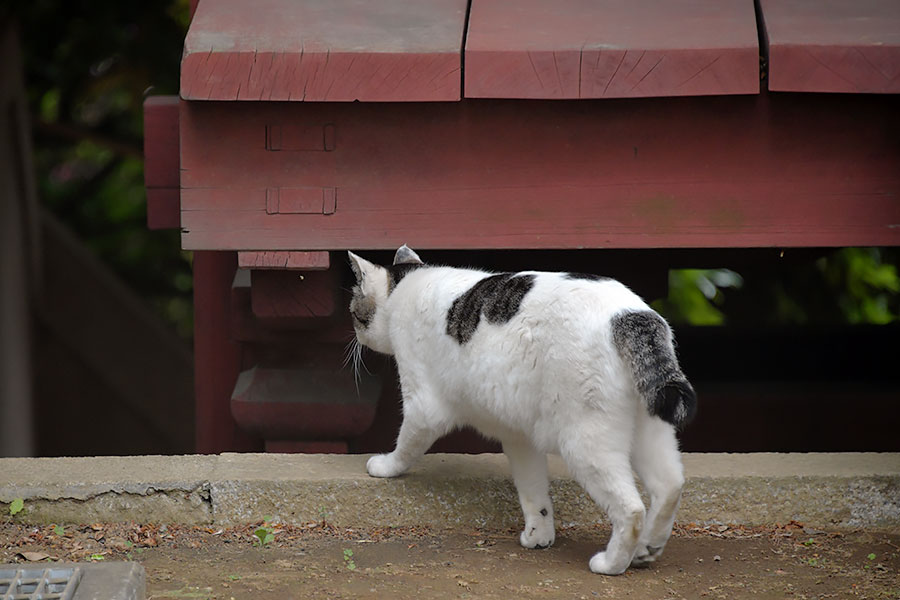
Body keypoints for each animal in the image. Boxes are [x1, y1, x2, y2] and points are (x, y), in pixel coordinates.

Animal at [346, 246, 696, 576]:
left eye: (353, 311)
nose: (355, 334)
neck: (405, 286)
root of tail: (631, 315)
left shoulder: (422, 406)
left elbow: (405, 445)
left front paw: (386, 466)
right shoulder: (519, 436)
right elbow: (533, 490)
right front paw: (539, 534)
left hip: (585, 443)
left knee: (632, 508)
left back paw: (611, 563)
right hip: (650, 429)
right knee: (670, 486)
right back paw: (646, 550)